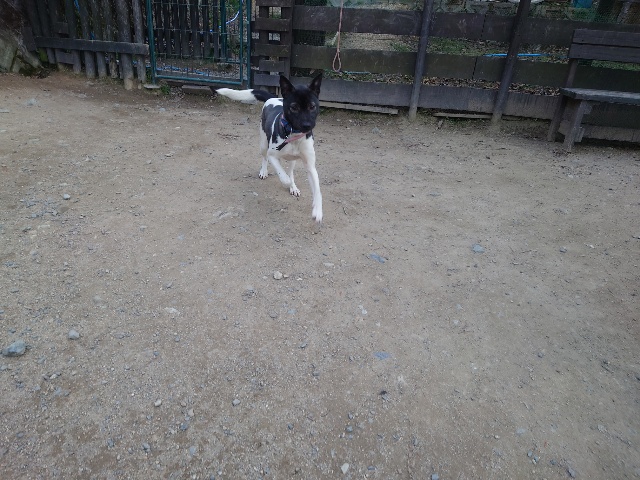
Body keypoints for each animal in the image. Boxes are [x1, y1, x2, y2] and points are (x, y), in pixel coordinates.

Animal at [214, 74, 323, 223]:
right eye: (294, 107)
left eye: (312, 106)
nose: (307, 125)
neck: (293, 135)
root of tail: (273, 98)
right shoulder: (273, 155)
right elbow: (283, 176)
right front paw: (286, 182)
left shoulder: (310, 166)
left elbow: (317, 189)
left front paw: (317, 210)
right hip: (263, 144)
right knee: (265, 158)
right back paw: (264, 172)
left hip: (293, 159)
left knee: (291, 171)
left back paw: (293, 187)